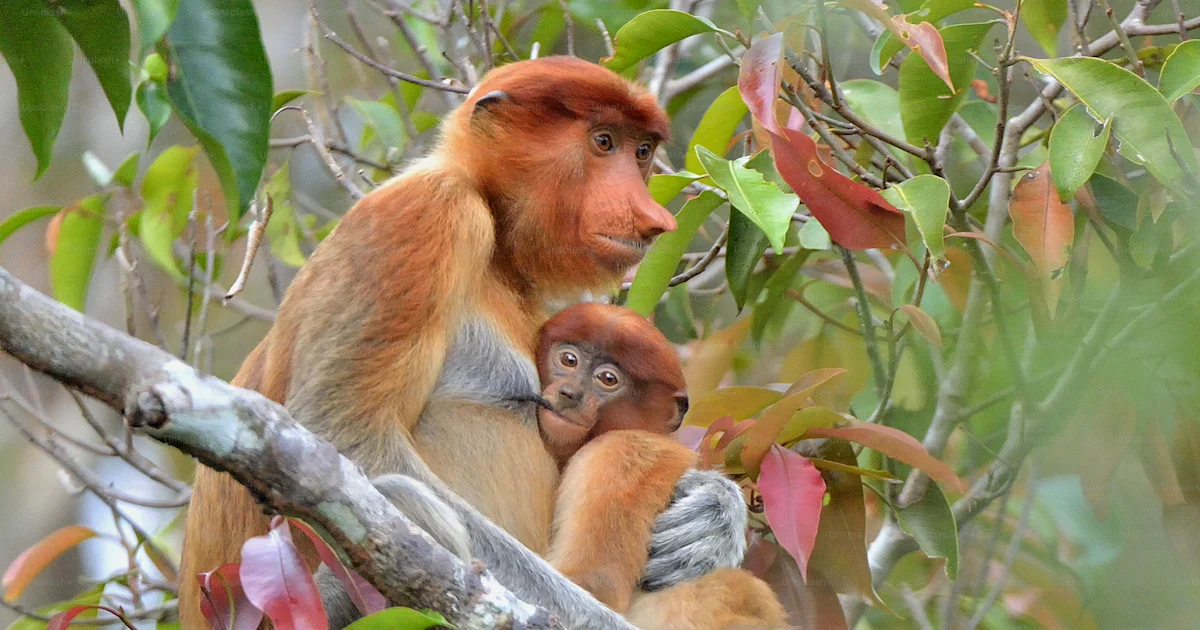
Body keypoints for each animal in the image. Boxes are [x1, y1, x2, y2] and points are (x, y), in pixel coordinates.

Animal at [180, 57, 751, 630]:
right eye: (604, 141)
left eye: (642, 151)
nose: (655, 218)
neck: (491, 219)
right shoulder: (427, 216)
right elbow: (342, 440)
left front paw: (713, 516)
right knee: (397, 496)